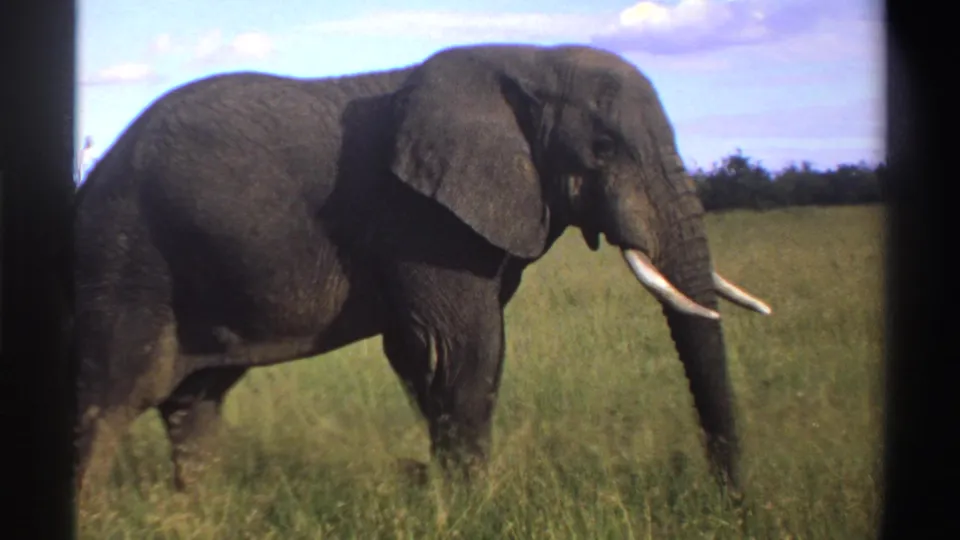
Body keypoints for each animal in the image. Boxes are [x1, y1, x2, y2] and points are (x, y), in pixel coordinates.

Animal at [73, 43, 772, 499]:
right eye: (603, 148)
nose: (731, 507)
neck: (530, 58)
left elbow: (436, 354)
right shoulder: (421, 218)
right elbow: (459, 348)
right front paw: (475, 509)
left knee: (195, 401)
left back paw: (195, 513)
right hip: (126, 256)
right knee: (108, 398)